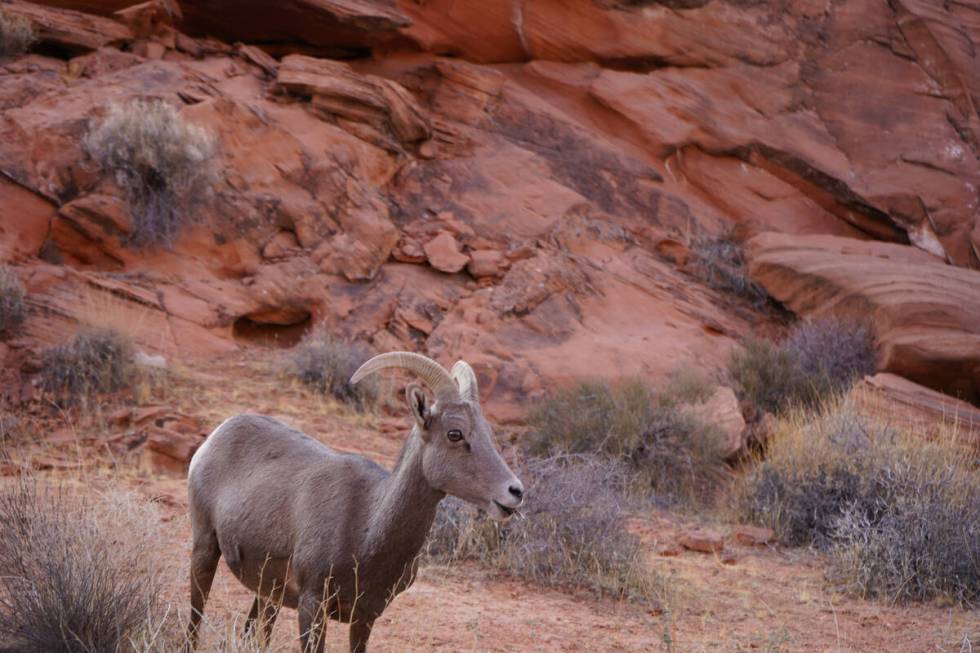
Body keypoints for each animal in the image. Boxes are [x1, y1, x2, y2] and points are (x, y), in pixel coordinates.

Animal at [184, 354, 520, 648]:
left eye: (488, 434)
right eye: (454, 434)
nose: (514, 492)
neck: (367, 527)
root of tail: (220, 431)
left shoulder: (365, 617)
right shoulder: (312, 606)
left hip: (269, 593)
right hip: (205, 548)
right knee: (195, 619)